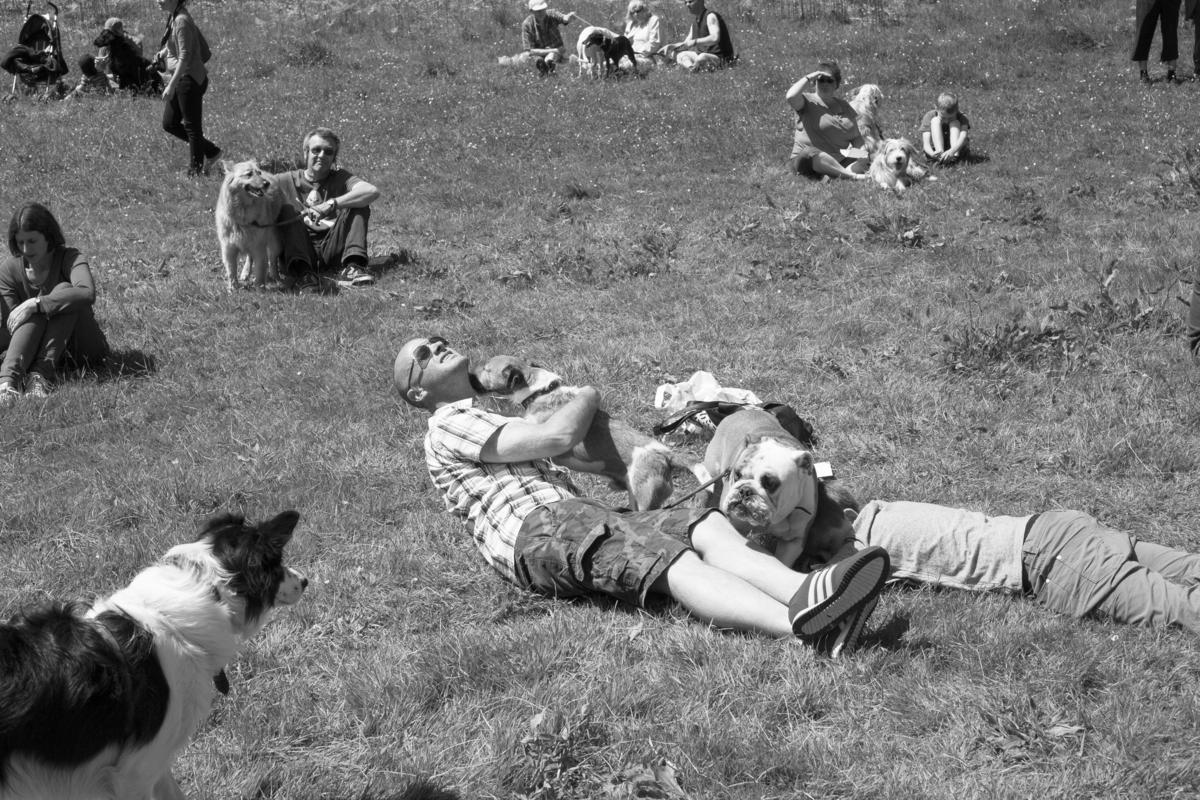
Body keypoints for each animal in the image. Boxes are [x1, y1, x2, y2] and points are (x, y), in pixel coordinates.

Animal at [213, 158, 283, 291]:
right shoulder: (229, 248)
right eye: (249, 174)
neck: (243, 216)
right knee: (249, 258)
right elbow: (231, 271)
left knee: (273, 260)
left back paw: (275, 277)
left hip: (274, 241)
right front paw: (233, 288)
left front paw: (260, 289)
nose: (266, 183)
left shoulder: (259, 247)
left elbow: (260, 271)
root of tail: (270, 174)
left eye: (259, 173)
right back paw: (245, 273)